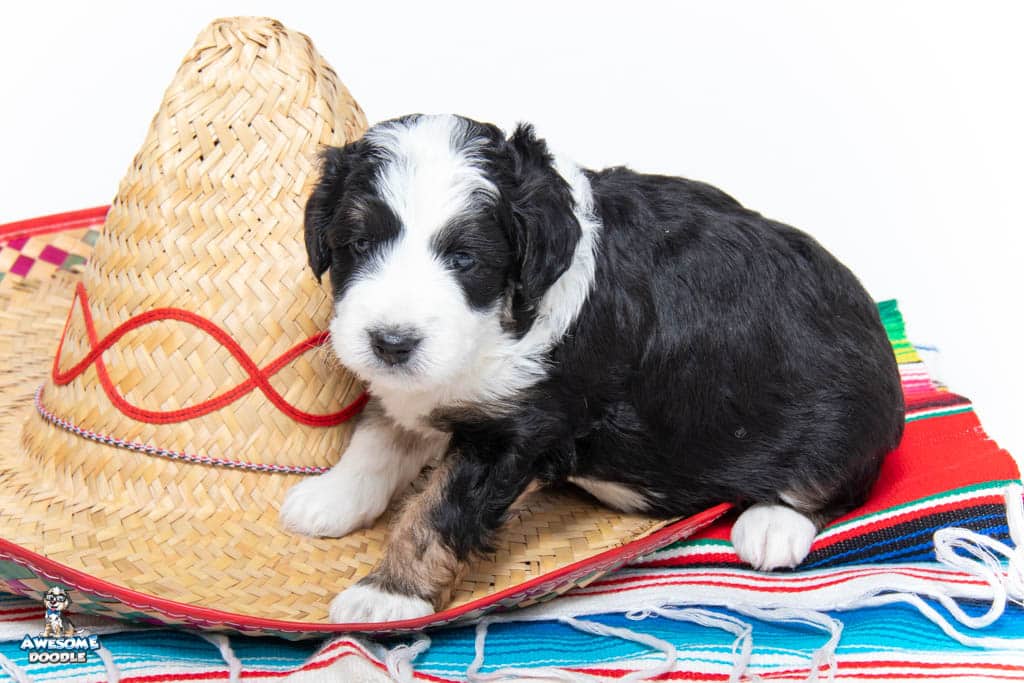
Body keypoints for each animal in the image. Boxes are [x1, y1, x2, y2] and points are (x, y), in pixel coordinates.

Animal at [279, 113, 905, 623]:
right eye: (359, 245)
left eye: (465, 259)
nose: (391, 343)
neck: (508, 314)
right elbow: (379, 437)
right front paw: (331, 498)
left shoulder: (518, 427)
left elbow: (438, 508)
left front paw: (388, 594)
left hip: (842, 418)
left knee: (839, 481)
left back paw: (773, 524)